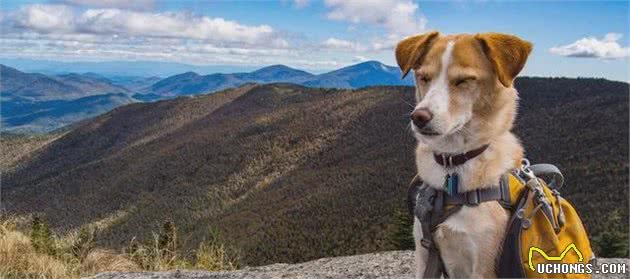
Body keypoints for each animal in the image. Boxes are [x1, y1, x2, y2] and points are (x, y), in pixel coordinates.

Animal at [398, 31, 536, 278]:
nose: (419, 117)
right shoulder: (424, 253)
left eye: (463, 81)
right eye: (424, 78)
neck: (453, 164)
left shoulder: (483, 265)